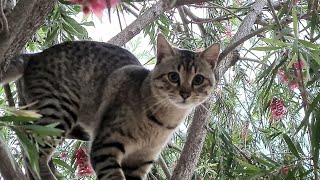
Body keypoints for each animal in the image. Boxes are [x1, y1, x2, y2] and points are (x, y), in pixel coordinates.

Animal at [0, 33, 220, 179]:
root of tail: (35, 55)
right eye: (173, 76)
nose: (185, 94)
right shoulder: (105, 146)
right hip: (58, 112)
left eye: (198, 79)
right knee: (34, 156)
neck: (161, 123)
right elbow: (114, 176)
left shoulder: (141, 161)